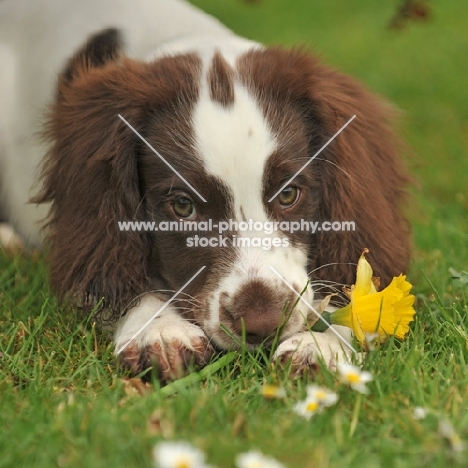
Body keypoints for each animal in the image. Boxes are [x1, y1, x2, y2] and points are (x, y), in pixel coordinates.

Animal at [0, 0, 410, 380]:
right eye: (183, 206)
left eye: (289, 194)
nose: (261, 325)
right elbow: (111, 265)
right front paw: (160, 331)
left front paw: (322, 343)